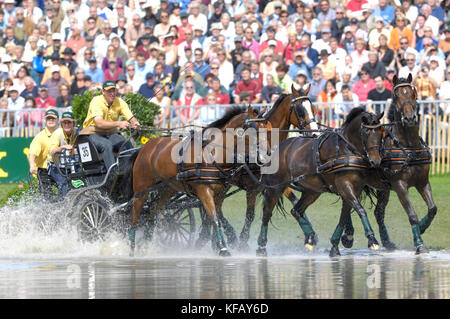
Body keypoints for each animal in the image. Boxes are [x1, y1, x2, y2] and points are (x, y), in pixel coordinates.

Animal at [122, 106, 270, 256]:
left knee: (153, 209)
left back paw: (145, 244)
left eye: (267, 128)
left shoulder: (220, 193)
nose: (268, 154)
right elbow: (215, 218)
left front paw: (217, 244)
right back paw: (132, 247)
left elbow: (215, 217)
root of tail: (145, 147)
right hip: (142, 190)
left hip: (168, 189)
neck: (213, 154)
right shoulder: (204, 191)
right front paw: (222, 248)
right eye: (255, 129)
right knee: (135, 216)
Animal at [194, 85, 320, 252]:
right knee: (215, 208)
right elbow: (250, 215)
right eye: (300, 110)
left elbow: (294, 200)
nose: (315, 134)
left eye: (313, 108)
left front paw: (310, 234)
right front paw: (243, 241)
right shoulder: (252, 187)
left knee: (215, 207)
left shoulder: (277, 182)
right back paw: (223, 237)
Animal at [255, 109, 384, 258]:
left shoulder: (354, 190)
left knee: (296, 211)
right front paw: (372, 239)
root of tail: (279, 148)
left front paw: (335, 246)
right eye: (366, 132)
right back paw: (261, 246)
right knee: (267, 212)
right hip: (276, 187)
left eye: (380, 131)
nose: (376, 161)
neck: (346, 149)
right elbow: (360, 210)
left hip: (312, 191)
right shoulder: (345, 186)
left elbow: (344, 216)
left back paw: (310, 239)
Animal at [342, 74, 436, 255]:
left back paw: (386, 240)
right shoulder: (400, 185)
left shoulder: (423, 182)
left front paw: (422, 227)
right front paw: (419, 243)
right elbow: (411, 214)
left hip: (383, 188)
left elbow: (432, 209)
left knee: (378, 212)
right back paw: (348, 236)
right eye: (397, 95)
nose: (409, 118)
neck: (408, 146)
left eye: (413, 93)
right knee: (349, 204)